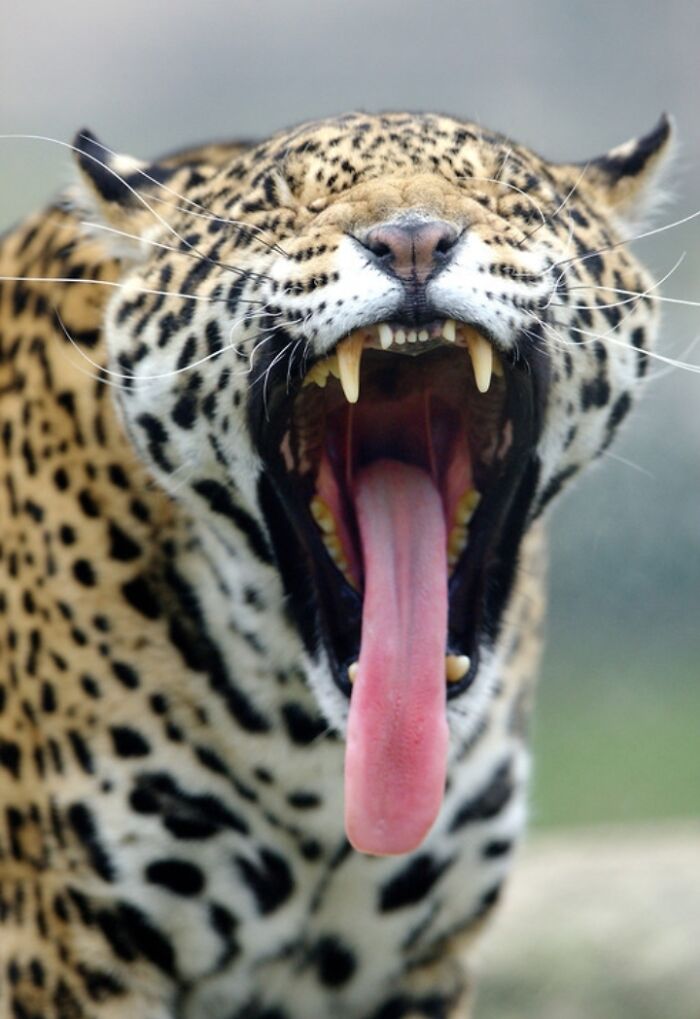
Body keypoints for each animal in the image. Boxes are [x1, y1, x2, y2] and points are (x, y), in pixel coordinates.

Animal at [0, 111, 672, 1019]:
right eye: (287, 205)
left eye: (505, 194)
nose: (413, 242)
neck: (314, 767)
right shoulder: (73, 955)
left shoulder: (416, 965)